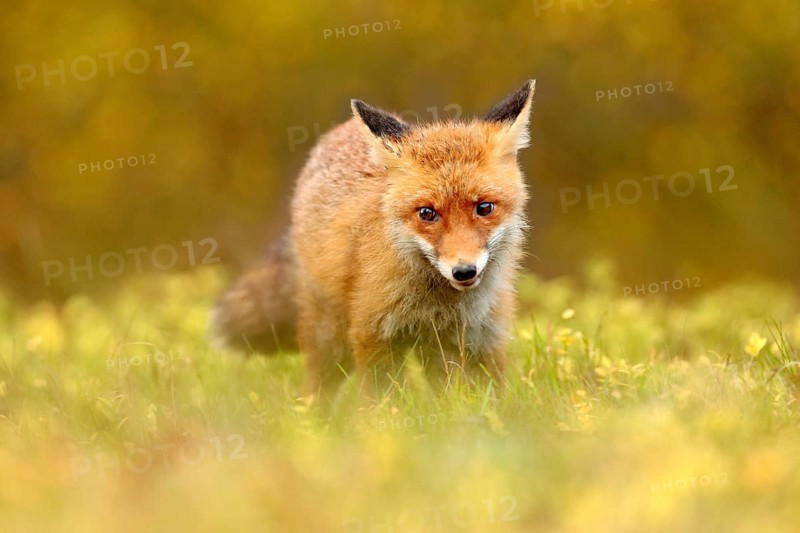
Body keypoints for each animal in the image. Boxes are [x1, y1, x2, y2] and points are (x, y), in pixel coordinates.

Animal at [211, 79, 536, 399]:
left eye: (484, 208)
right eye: (427, 213)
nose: (464, 271)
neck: (442, 306)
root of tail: (339, 131)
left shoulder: (486, 336)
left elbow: (492, 399)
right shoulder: (374, 333)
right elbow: (383, 401)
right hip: (332, 337)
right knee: (316, 389)